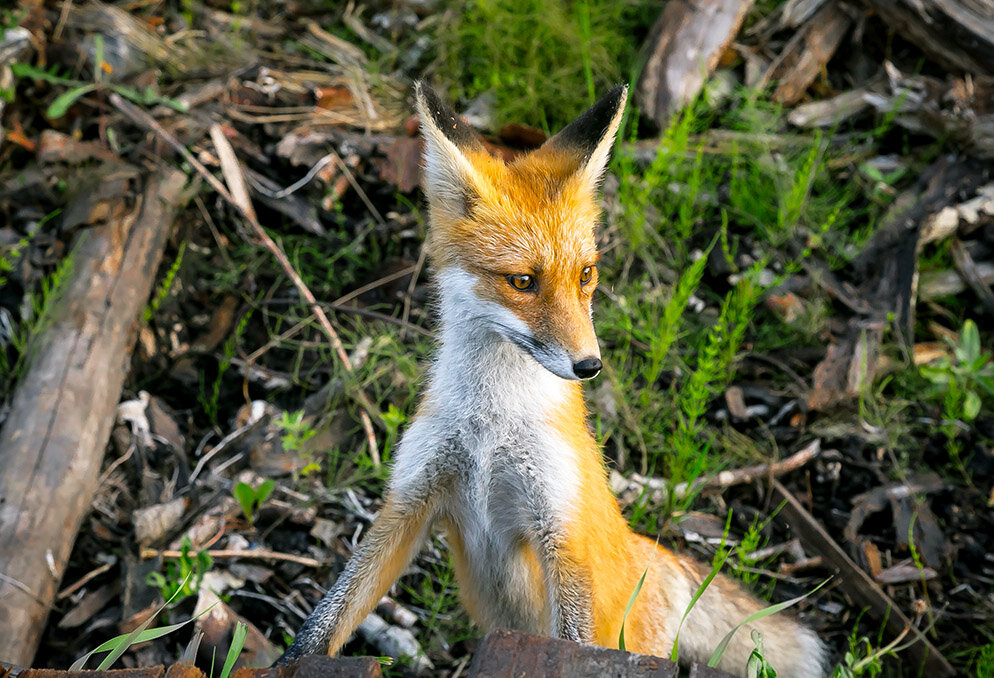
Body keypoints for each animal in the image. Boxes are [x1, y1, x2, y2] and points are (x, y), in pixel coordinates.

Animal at [274, 82, 828, 676]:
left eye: (585, 274)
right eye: (522, 281)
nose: (589, 366)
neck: (490, 428)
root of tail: (652, 551)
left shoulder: (559, 527)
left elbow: (572, 640)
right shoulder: (410, 500)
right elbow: (331, 614)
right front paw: (292, 661)